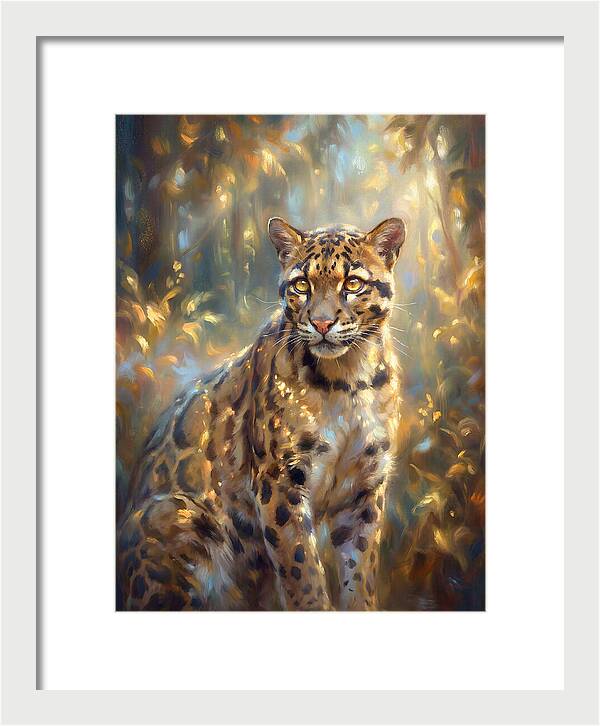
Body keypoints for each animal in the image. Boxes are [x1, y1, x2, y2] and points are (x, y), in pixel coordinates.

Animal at [117, 216, 406, 610]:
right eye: (302, 284)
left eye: (352, 283)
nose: (322, 323)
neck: (348, 381)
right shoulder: (280, 480)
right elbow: (302, 570)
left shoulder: (365, 486)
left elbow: (360, 570)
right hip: (176, 516)